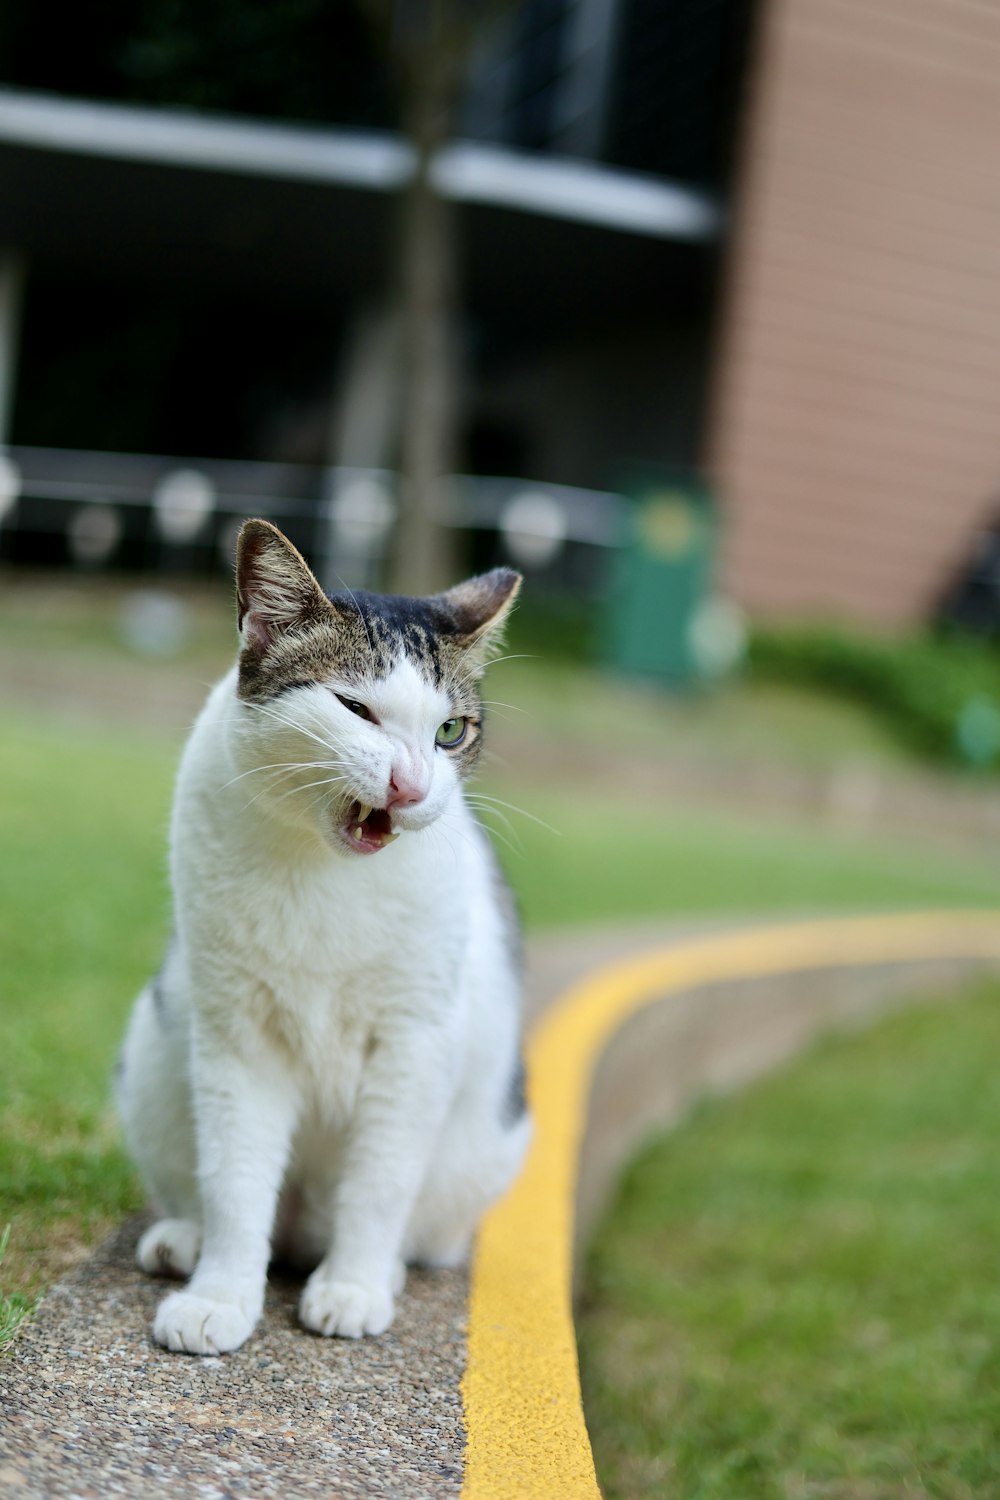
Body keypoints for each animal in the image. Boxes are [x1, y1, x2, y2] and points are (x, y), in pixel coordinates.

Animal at [117, 519, 530, 1362]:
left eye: (450, 731)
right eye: (355, 709)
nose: (411, 786)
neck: (323, 873)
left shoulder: (414, 1041)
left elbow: (378, 1185)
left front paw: (355, 1288)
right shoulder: (236, 1037)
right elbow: (236, 1181)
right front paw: (219, 1297)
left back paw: (380, 1270)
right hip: (156, 1042)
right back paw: (183, 1241)